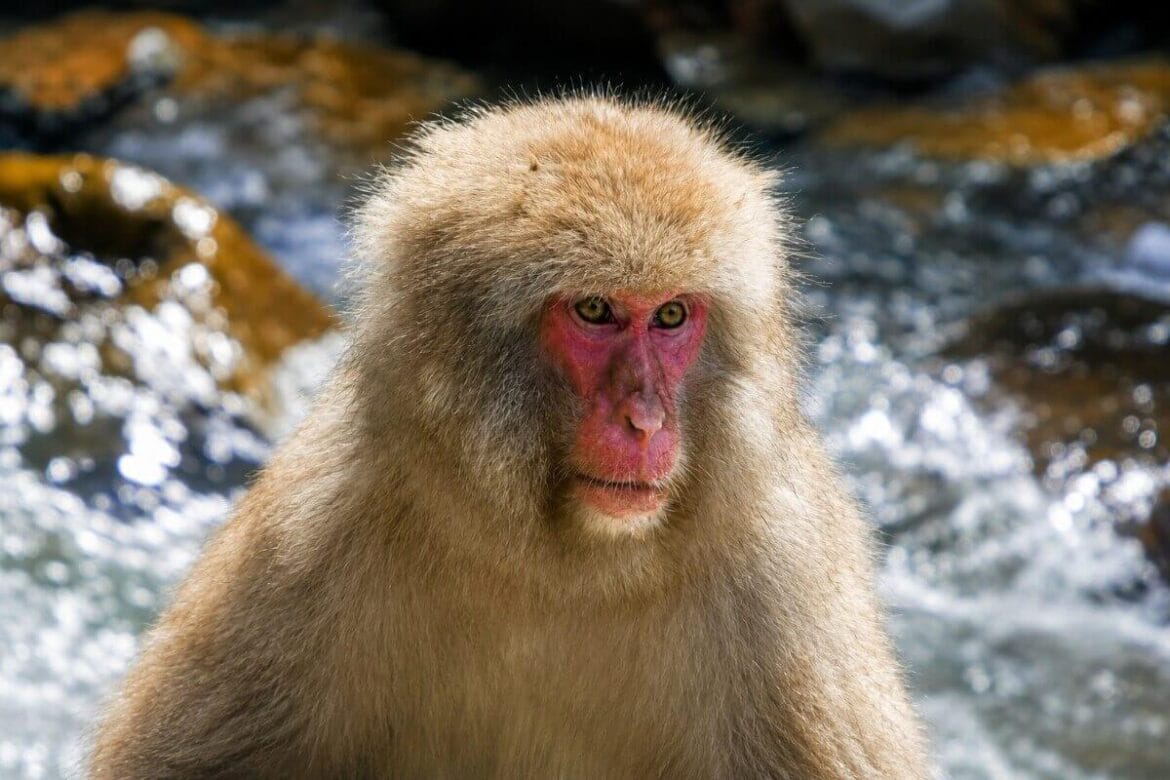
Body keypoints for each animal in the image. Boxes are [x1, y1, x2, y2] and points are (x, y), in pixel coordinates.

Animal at [90, 95, 930, 779]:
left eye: (670, 315)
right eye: (594, 311)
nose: (647, 421)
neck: (561, 562)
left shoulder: (787, 578)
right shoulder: (305, 537)